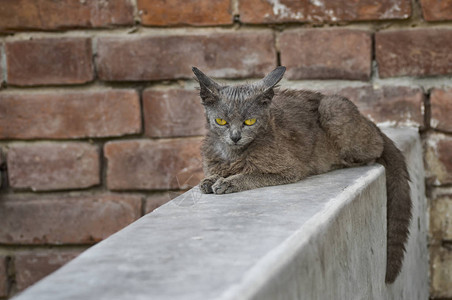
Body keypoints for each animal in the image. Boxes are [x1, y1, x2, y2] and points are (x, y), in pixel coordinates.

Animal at [192, 65, 412, 284]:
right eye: (221, 121)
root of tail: (367, 120)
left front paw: (227, 183)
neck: (232, 154)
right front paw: (209, 180)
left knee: (376, 148)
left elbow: (251, 174)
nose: (235, 137)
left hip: (333, 110)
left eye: (250, 121)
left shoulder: (290, 169)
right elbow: (214, 174)